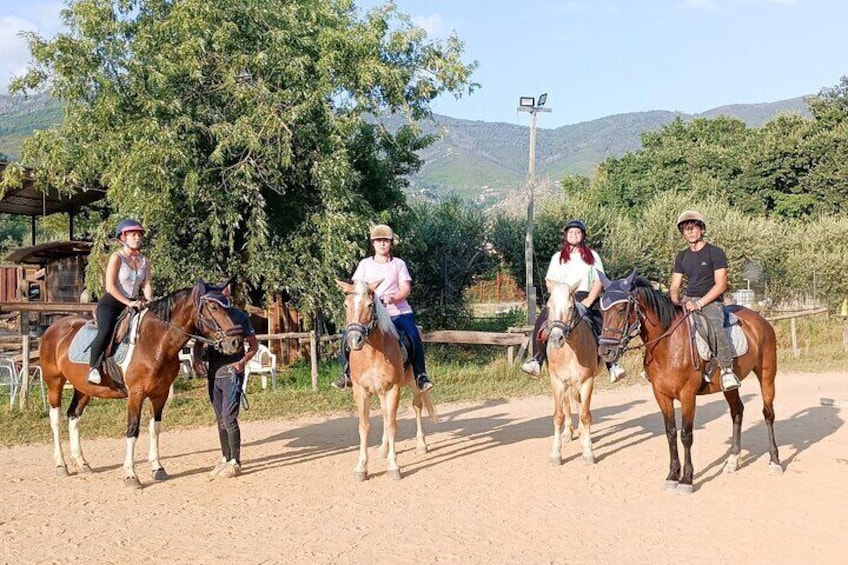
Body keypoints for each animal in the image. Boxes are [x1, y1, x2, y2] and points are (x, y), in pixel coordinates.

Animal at [40, 280, 245, 486]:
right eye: (213, 307)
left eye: (229, 307)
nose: (236, 342)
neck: (155, 342)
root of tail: (53, 327)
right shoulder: (136, 394)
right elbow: (132, 430)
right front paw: (131, 475)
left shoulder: (160, 394)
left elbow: (155, 429)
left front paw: (157, 468)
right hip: (54, 382)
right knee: (55, 419)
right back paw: (61, 465)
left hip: (84, 388)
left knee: (73, 416)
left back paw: (81, 463)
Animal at [334, 278, 438, 480]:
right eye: (346, 305)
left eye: (370, 305)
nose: (354, 339)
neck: (373, 352)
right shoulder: (360, 391)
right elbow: (364, 425)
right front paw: (361, 467)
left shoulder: (393, 389)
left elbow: (391, 424)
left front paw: (393, 466)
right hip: (381, 391)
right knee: (384, 412)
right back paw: (383, 448)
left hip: (413, 385)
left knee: (416, 407)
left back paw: (421, 444)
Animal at [548, 280, 600, 462]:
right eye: (549, 306)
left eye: (571, 307)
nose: (556, 339)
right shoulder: (557, 381)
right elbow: (558, 415)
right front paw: (556, 453)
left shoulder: (587, 381)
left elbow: (585, 415)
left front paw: (588, 452)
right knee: (569, 402)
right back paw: (568, 434)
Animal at [596, 270, 780, 494]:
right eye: (601, 310)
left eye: (622, 309)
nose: (605, 351)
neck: (668, 344)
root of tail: (761, 320)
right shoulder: (661, 394)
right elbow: (670, 433)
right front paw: (672, 475)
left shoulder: (687, 394)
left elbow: (685, 434)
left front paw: (686, 479)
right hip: (730, 387)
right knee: (737, 411)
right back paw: (732, 461)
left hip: (767, 375)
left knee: (768, 414)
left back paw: (774, 462)